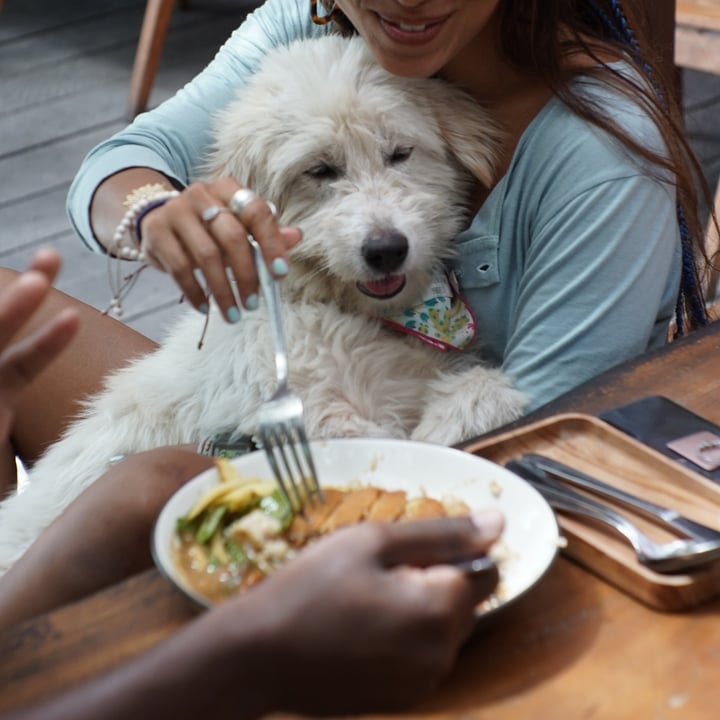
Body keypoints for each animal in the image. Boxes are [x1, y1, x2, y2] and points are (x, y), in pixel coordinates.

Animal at [0, 35, 524, 572]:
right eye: (319, 170)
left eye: (400, 152)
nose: (385, 250)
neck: (349, 313)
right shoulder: (312, 413)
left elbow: (476, 391)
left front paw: (461, 414)